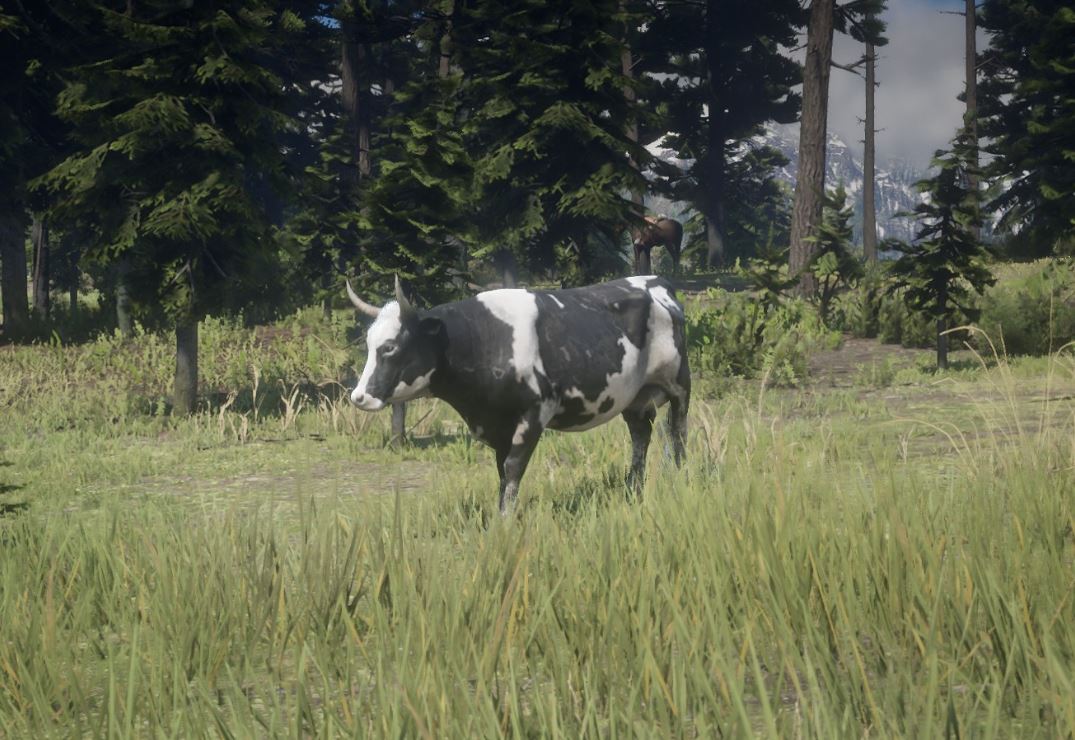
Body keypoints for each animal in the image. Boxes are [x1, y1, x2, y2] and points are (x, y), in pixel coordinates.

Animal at [346, 276, 691, 514]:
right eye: (368, 343)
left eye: (390, 347)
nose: (359, 397)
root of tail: (656, 282)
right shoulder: (497, 424)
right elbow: (502, 470)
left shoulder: (535, 412)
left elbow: (513, 467)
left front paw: (505, 520)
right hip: (634, 398)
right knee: (641, 437)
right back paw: (633, 491)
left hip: (679, 385)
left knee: (678, 433)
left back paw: (680, 480)